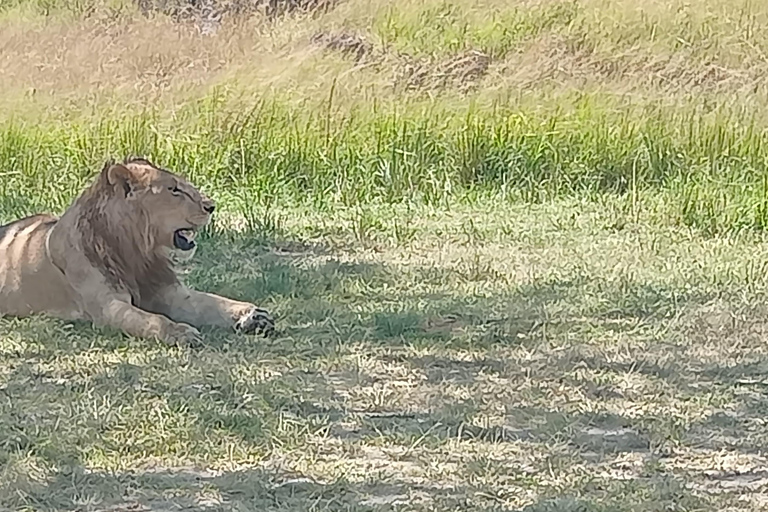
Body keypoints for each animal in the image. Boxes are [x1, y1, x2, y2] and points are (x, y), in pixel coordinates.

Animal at [0, 158, 274, 346]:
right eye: (174, 190)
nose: (211, 206)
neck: (138, 253)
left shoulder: (169, 291)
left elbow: (211, 301)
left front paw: (252, 315)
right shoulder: (107, 306)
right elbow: (153, 319)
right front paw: (179, 332)